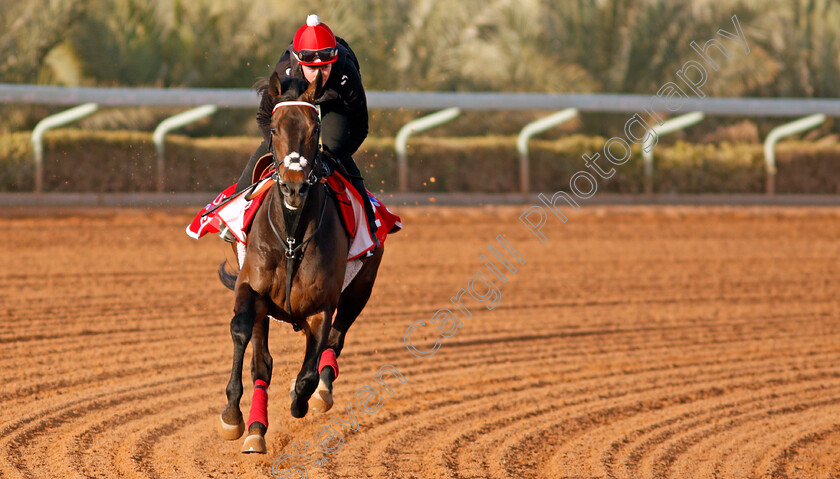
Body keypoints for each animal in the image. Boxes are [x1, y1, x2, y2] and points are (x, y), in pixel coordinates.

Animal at [217, 70, 388, 454]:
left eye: (315, 128)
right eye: (275, 127)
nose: (294, 188)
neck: (293, 239)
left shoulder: (324, 304)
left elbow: (308, 371)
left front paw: (301, 399)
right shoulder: (251, 288)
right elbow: (242, 334)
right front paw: (234, 416)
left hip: (362, 287)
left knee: (334, 342)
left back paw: (322, 391)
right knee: (263, 363)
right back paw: (256, 428)